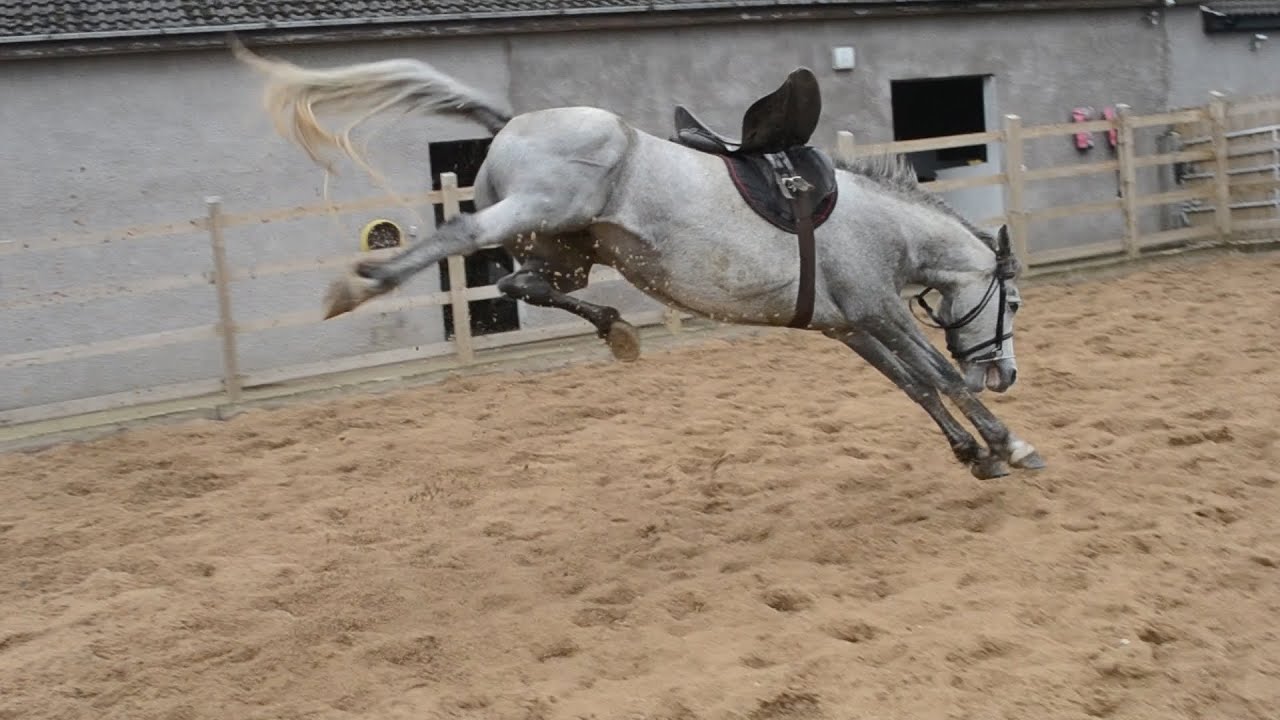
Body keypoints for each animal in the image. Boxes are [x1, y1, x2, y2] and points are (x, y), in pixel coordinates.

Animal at [230, 39, 1045, 480]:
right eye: (1012, 302)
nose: (1006, 374)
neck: (882, 225)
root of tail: (511, 120)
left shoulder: (848, 326)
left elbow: (913, 385)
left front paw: (976, 453)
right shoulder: (876, 310)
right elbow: (938, 375)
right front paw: (1010, 444)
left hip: (566, 252)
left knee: (519, 280)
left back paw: (616, 330)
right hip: (536, 210)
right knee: (461, 239)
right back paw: (361, 282)